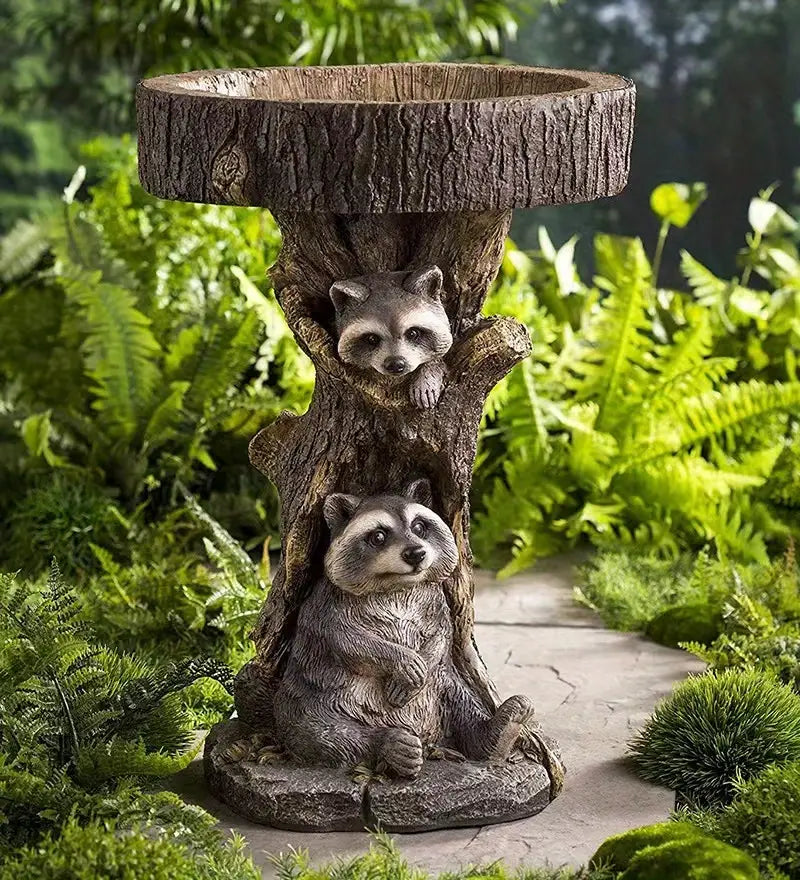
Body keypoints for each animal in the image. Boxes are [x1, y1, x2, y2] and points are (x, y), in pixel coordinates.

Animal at [273, 479, 534, 779]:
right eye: (378, 536)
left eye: (419, 526)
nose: (416, 553)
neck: (396, 586)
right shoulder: (326, 604)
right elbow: (348, 641)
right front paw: (403, 661)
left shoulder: (435, 600)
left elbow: (442, 635)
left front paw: (423, 661)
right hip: (307, 696)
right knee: (316, 730)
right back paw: (390, 745)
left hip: (443, 688)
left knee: (462, 704)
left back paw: (498, 730)